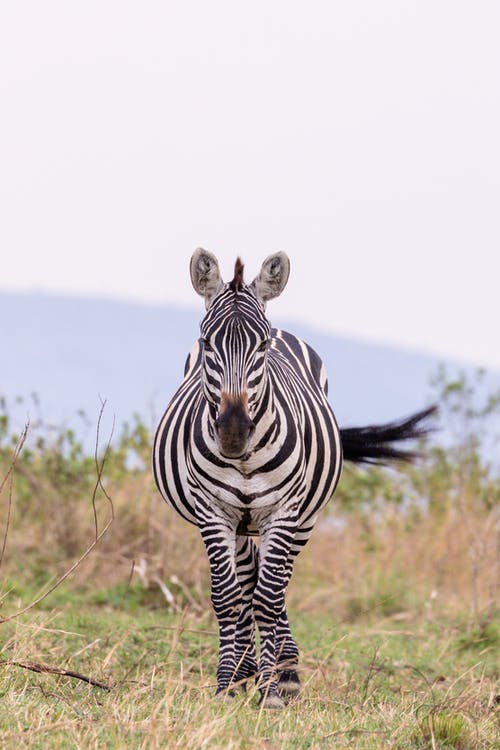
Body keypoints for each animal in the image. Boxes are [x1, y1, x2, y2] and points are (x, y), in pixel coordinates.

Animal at [153, 250, 438, 708]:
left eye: (261, 347)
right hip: (239, 522)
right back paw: (247, 671)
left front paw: (272, 690)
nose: (233, 432)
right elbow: (228, 598)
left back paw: (284, 673)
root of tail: (284, 326)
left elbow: (270, 597)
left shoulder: (284, 512)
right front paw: (227, 685)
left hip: (304, 519)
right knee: (248, 582)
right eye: (208, 343)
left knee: (277, 583)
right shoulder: (213, 513)